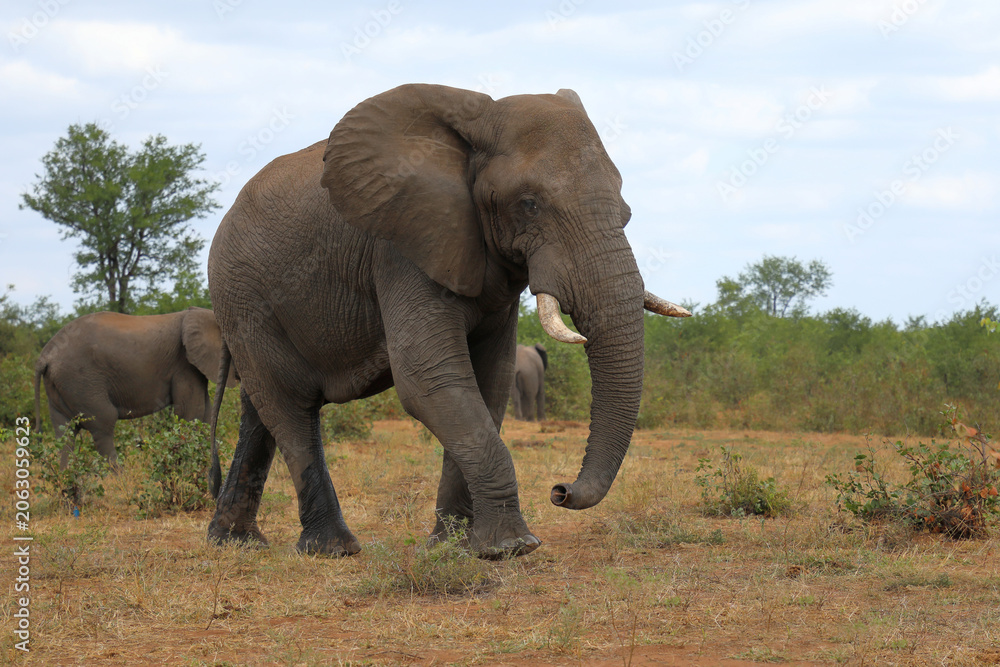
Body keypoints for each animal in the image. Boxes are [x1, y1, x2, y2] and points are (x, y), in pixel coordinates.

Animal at [34, 307, 237, 468]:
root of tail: (45, 355)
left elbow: (205, 415)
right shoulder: (184, 365)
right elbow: (190, 414)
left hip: (61, 387)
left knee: (65, 433)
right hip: (81, 382)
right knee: (103, 424)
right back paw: (118, 481)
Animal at [206, 83, 690, 559]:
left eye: (625, 211)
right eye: (529, 204)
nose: (560, 491)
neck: (477, 121)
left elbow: (489, 381)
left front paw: (453, 547)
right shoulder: (402, 247)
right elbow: (428, 379)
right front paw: (512, 547)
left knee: (259, 410)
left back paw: (234, 541)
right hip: (243, 297)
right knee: (290, 407)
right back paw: (332, 549)